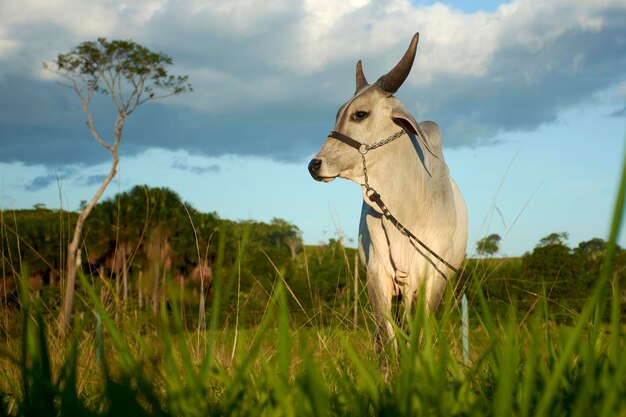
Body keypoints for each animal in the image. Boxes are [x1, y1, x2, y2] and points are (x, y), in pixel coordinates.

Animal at [308, 33, 464, 342]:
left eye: (360, 114)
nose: (315, 165)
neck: (405, 207)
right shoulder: (376, 276)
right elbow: (387, 333)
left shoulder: (433, 277)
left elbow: (420, 332)